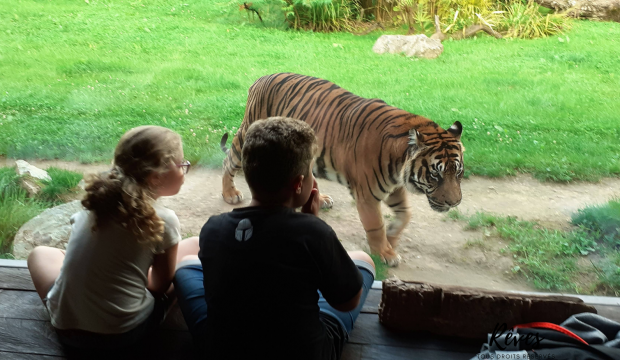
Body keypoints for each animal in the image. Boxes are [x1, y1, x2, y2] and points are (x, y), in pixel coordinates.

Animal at [220, 72, 462, 268]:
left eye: (458, 172)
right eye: (435, 174)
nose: (455, 202)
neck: (398, 163)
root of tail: (261, 78)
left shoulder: (393, 186)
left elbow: (406, 215)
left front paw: (392, 238)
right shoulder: (367, 195)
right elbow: (375, 225)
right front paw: (385, 253)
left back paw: (320, 199)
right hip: (249, 134)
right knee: (229, 160)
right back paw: (230, 194)